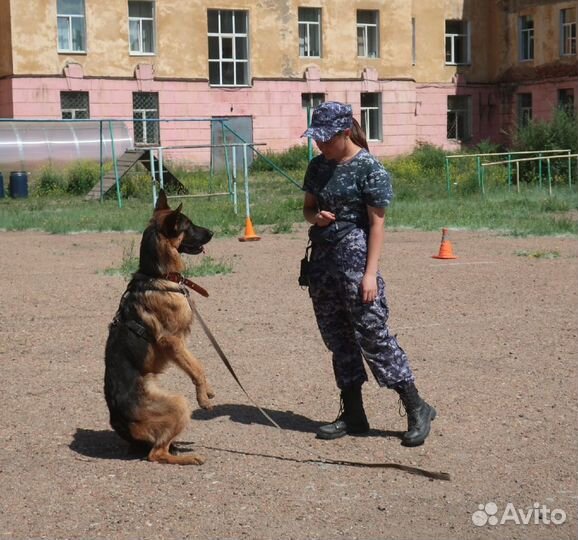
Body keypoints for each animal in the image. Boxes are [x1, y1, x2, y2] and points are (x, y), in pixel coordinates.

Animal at [104, 191, 214, 464]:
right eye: (189, 226)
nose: (213, 232)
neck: (159, 276)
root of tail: (120, 423)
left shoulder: (178, 345)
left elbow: (197, 365)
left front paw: (208, 391)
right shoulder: (173, 341)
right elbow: (197, 368)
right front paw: (203, 398)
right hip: (178, 403)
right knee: (156, 454)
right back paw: (186, 457)